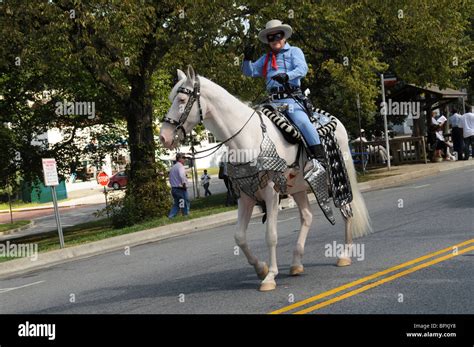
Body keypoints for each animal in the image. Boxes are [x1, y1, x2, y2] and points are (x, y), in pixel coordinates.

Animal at [161, 66, 372, 294]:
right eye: (171, 98)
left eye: (182, 99)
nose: (164, 137)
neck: (245, 138)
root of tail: (335, 121)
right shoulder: (245, 195)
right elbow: (239, 237)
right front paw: (260, 268)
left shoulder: (271, 193)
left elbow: (271, 235)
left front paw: (270, 276)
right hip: (298, 187)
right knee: (307, 217)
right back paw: (296, 264)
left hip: (338, 180)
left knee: (346, 211)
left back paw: (344, 255)